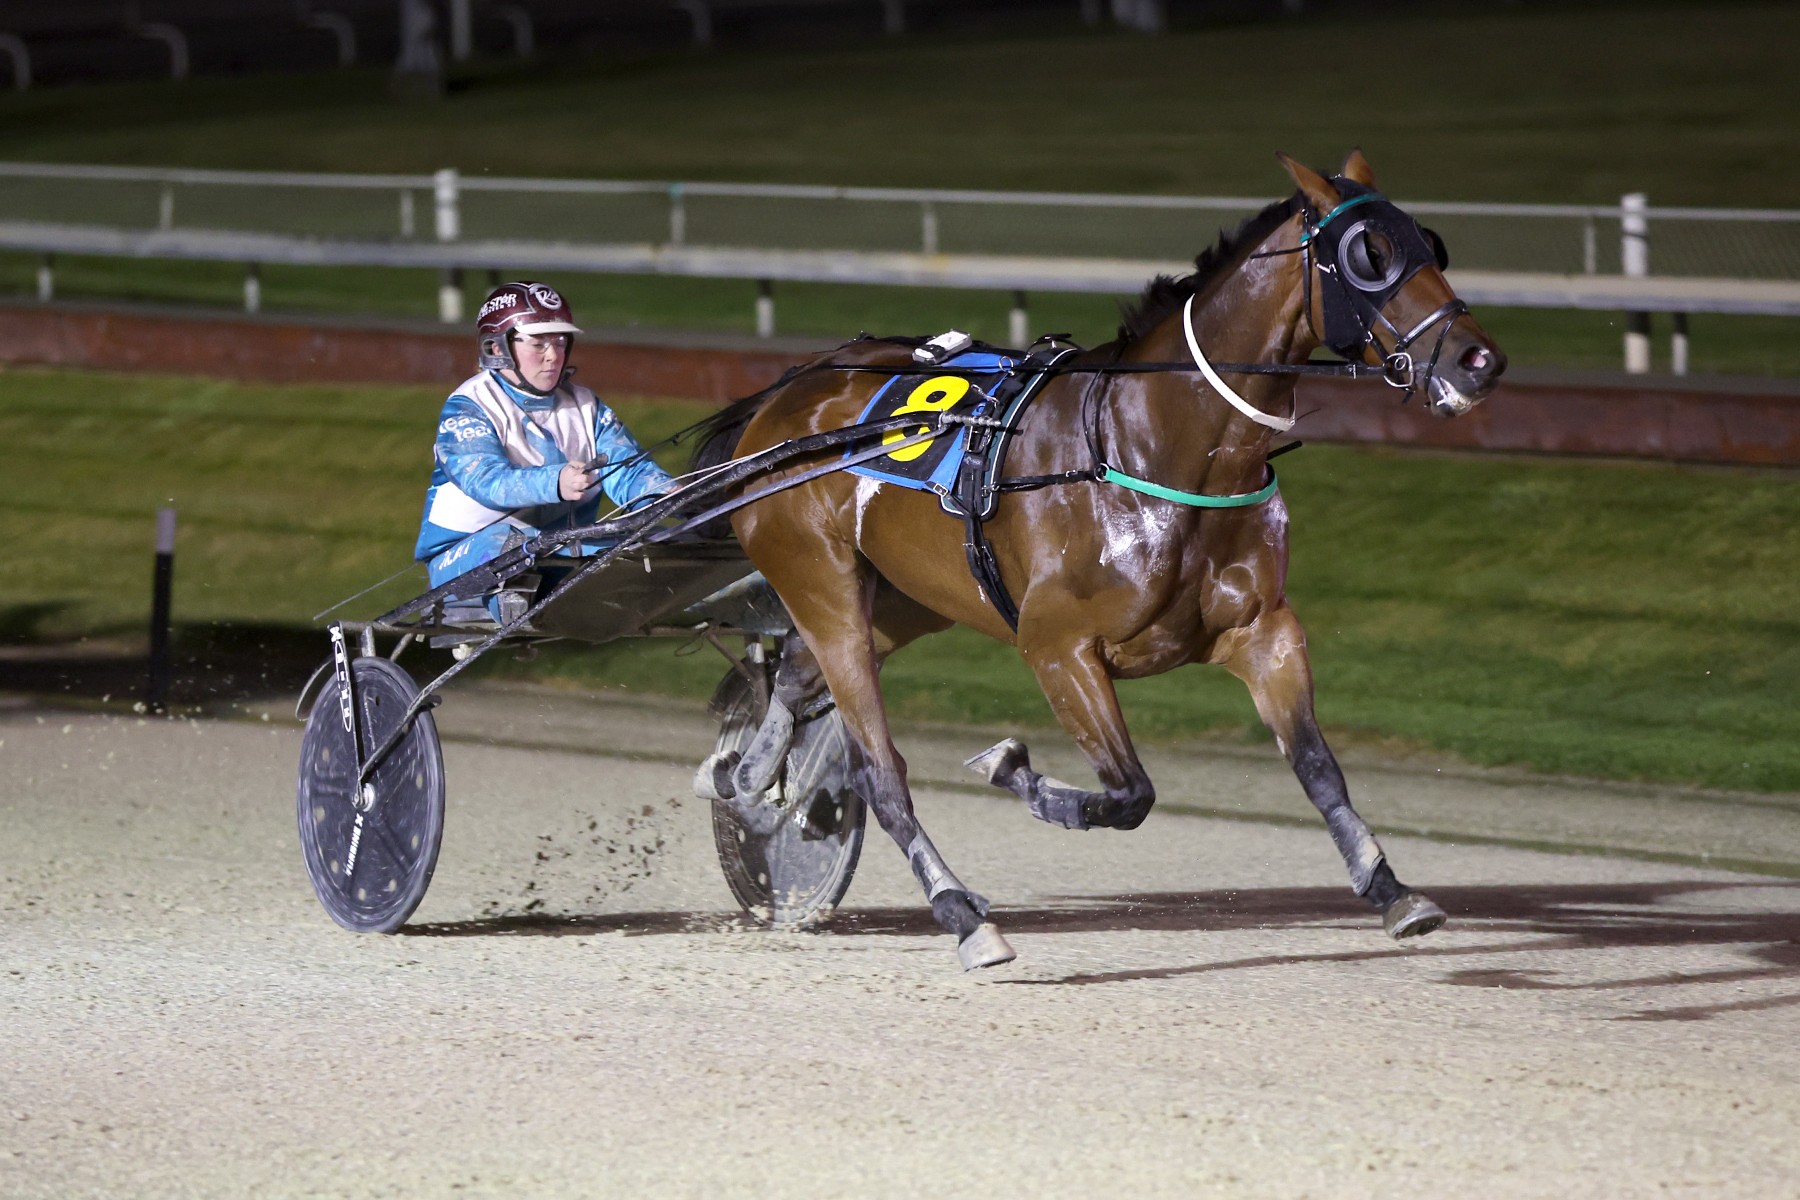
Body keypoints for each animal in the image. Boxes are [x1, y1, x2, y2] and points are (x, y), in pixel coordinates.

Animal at [691, 151, 1506, 970]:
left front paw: (1393, 890)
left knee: (795, 682)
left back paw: (741, 776)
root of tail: (789, 395)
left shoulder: (1263, 630)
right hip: (822, 584)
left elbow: (1317, 767)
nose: (1481, 362)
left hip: (903, 598)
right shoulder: (1056, 646)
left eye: (1432, 244)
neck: (1148, 444)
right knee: (876, 769)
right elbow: (1129, 792)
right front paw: (1010, 768)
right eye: (1370, 255)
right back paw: (961, 913)